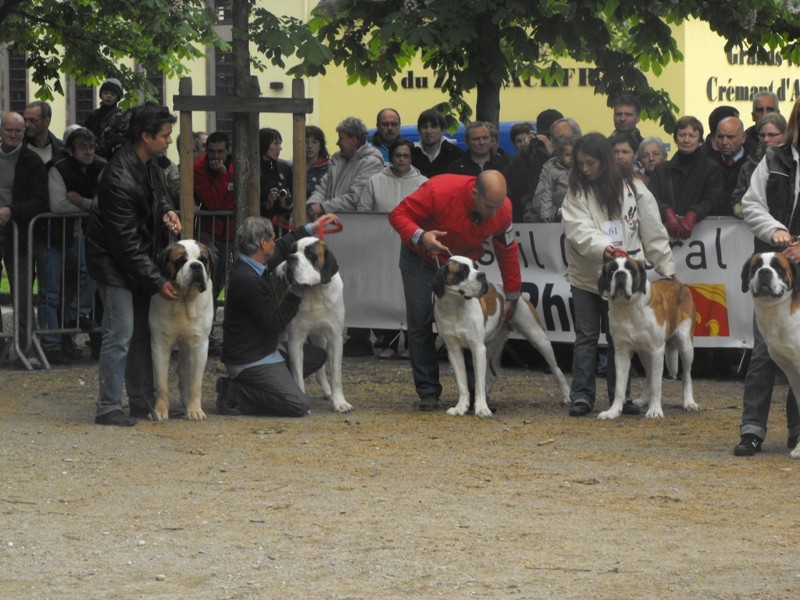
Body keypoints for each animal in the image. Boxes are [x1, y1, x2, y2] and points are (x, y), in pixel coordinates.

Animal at [148, 239, 214, 422]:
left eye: (203, 259)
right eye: (181, 261)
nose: (196, 266)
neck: (183, 300)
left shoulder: (200, 345)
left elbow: (195, 382)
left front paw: (195, 410)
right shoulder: (160, 343)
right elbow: (161, 383)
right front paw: (159, 410)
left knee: (185, 372)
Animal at [274, 234, 352, 412]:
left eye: (310, 255)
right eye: (292, 251)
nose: (290, 258)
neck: (314, 292)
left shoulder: (335, 338)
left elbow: (336, 375)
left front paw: (340, 402)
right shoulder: (295, 340)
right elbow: (297, 375)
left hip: (319, 338)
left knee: (321, 369)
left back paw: (328, 392)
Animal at [428, 256, 572, 418]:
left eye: (476, 267)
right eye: (463, 271)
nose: (482, 275)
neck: (455, 306)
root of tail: (515, 294)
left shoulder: (477, 348)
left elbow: (478, 382)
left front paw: (482, 408)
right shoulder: (454, 350)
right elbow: (462, 382)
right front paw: (461, 407)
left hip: (539, 338)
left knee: (556, 369)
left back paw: (567, 395)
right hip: (491, 346)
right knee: (491, 375)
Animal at [596, 255, 696, 420]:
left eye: (630, 269)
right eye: (611, 271)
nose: (620, 274)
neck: (629, 307)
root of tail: (680, 284)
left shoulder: (657, 351)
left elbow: (656, 384)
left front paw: (655, 410)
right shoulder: (621, 353)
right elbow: (620, 387)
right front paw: (613, 411)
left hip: (685, 343)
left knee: (686, 375)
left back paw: (689, 402)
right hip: (644, 353)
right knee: (649, 376)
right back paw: (643, 400)